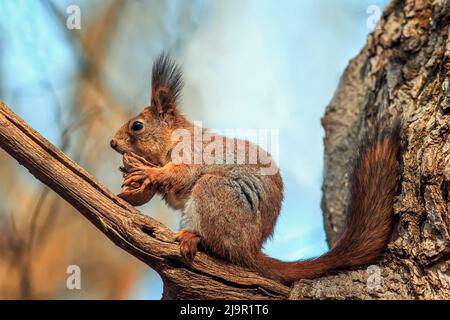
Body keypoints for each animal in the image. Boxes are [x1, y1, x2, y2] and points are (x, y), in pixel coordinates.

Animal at [110, 53, 400, 284]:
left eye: (137, 125)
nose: (112, 142)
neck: (175, 138)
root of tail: (250, 248)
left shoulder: (192, 155)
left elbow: (181, 175)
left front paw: (150, 173)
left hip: (214, 192)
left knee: (219, 245)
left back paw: (194, 237)